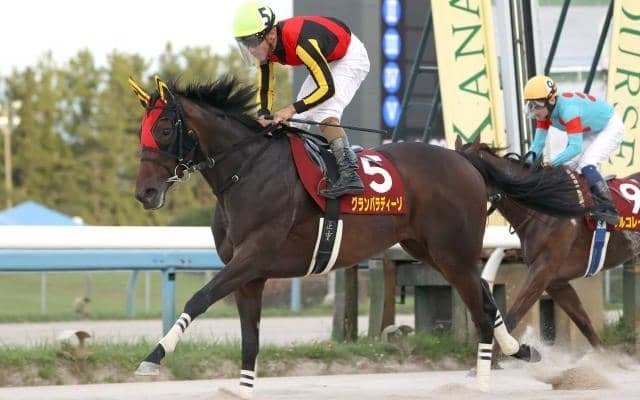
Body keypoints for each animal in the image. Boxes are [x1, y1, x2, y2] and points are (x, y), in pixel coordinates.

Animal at [127, 75, 547, 396]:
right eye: (140, 133)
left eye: (164, 129)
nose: (145, 192)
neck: (246, 170)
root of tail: (463, 160)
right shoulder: (250, 275)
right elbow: (250, 339)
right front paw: (242, 388)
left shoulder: (254, 256)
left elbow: (199, 298)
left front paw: (153, 357)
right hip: (430, 250)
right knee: (486, 298)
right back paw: (519, 352)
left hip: (453, 253)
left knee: (483, 307)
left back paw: (487, 379)